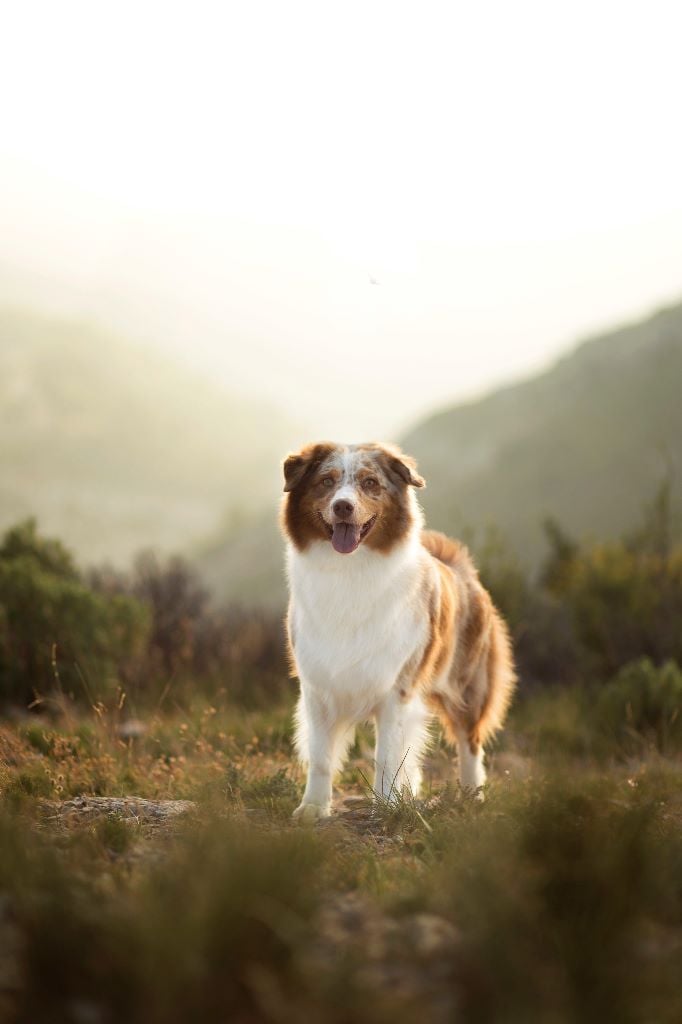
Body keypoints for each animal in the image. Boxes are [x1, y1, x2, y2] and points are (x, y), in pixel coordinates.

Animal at [278, 442, 512, 823]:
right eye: (326, 481)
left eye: (370, 482)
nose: (343, 506)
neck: (350, 571)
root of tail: (459, 565)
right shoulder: (317, 687)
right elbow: (321, 756)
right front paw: (313, 807)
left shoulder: (396, 688)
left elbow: (387, 755)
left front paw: (386, 808)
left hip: (468, 685)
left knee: (470, 742)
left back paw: (471, 794)